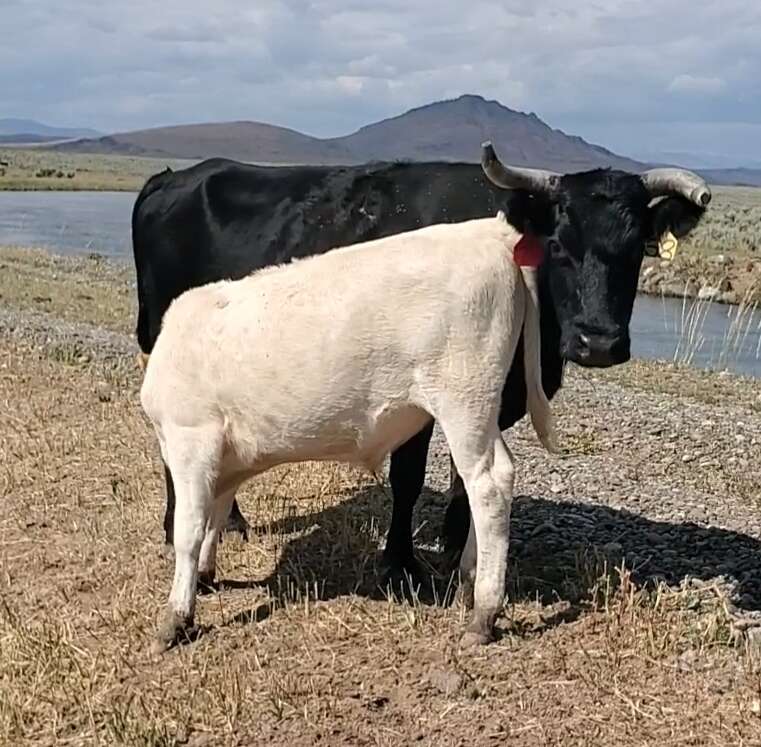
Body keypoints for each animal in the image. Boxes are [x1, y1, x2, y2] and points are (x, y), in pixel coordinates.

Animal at [132, 143, 711, 581]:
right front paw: (399, 562)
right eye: (558, 245)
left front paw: (459, 551)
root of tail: (173, 178)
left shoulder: (485, 401)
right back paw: (184, 521)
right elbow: (408, 478)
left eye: (637, 249)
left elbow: (463, 479)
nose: (599, 342)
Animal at [141, 200, 556, 652]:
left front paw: (176, 617)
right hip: (479, 408)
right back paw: (468, 581)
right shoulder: (226, 454)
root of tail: (493, 233)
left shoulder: (190, 437)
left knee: (488, 485)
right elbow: (216, 513)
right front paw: (204, 576)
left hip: (464, 398)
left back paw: (484, 612)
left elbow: (188, 530)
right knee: (485, 480)